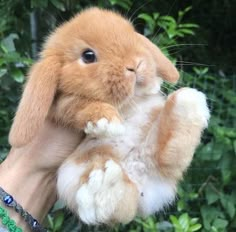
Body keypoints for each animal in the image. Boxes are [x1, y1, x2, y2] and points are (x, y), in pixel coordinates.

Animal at [8, 7, 210, 225]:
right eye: (88, 56)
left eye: (132, 35)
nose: (135, 65)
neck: (127, 104)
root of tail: (137, 172)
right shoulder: (61, 104)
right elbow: (76, 105)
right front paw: (107, 122)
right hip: (72, 174)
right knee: (121, 204)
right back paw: (105, 186)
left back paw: (188, 103)